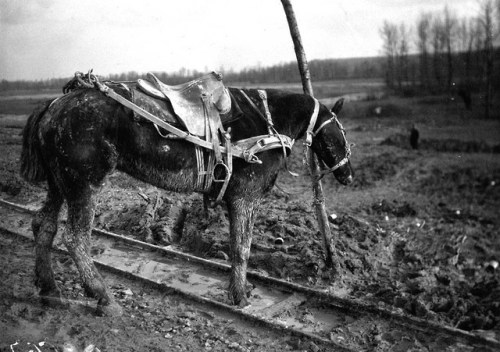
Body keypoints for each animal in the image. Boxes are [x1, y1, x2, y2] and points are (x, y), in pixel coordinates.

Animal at [21, 83, 354, 316]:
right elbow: (242, 248)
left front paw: (239, 290)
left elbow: (238, 247)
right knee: (75, 237)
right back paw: (103, 296)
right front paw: (240, 295)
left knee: (44, 226)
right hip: (83, 185)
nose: (348, 176)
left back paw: (49, 289)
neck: (267, 125)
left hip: (59, 183)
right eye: (340, 132)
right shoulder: (245, 197)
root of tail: (53, 105)